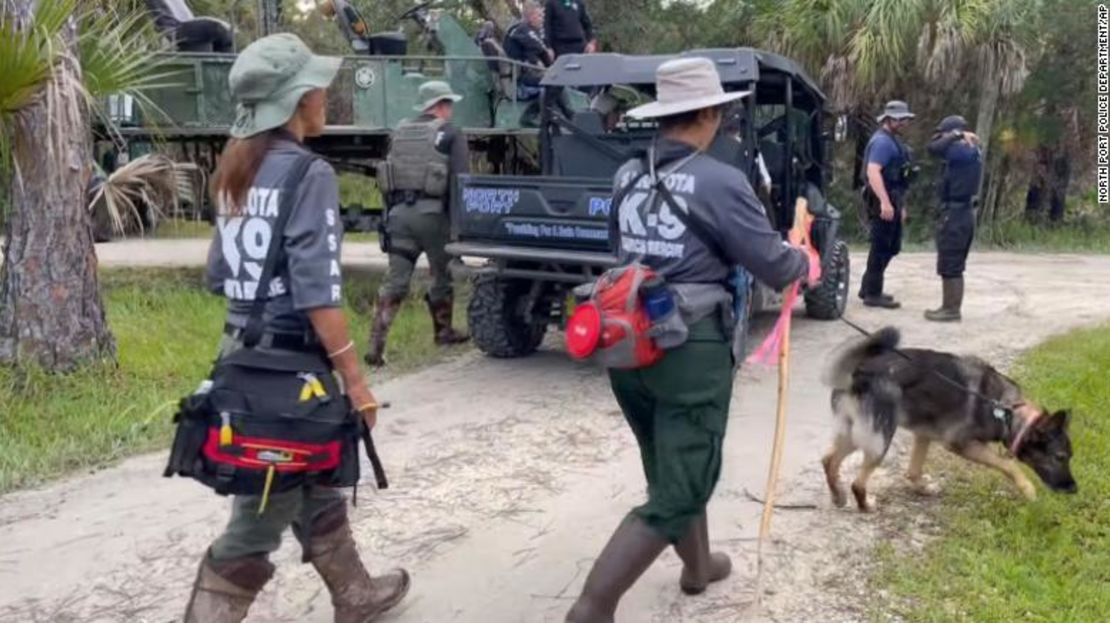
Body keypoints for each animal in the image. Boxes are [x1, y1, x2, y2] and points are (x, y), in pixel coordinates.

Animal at [821, 326, 1070, 510]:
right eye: (1060, 457)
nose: (1073, 489)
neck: (1006, 409)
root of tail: (860, 372)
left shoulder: (923, 435)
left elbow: (913, 471)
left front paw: (922, 488)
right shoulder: (962, 445)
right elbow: (1008, 465)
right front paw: (1027, 488)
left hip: (855, 432)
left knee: (828, 459)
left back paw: (837, 495)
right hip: (880, 437)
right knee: (857, 483)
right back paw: (865, 505)